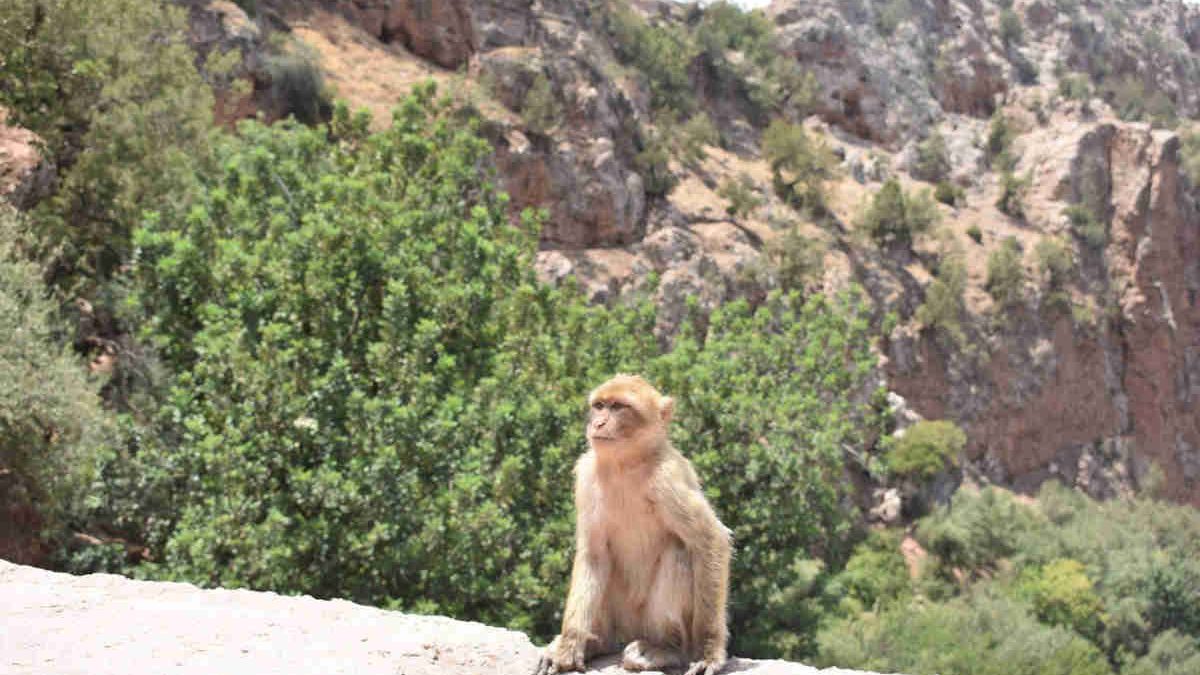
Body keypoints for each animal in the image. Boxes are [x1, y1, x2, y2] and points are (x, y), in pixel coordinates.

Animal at [534, 374, 732, 675]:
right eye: (600, 406)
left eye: (618, 407)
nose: (598, 423)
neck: (625, 463)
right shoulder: (587, 475)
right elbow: (593, 555)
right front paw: (569, 645)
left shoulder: (668, 479)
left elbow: (711, 540)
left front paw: (710, 652)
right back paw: (596, 642)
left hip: (647, 622)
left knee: (678, 551)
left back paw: (665, 649)